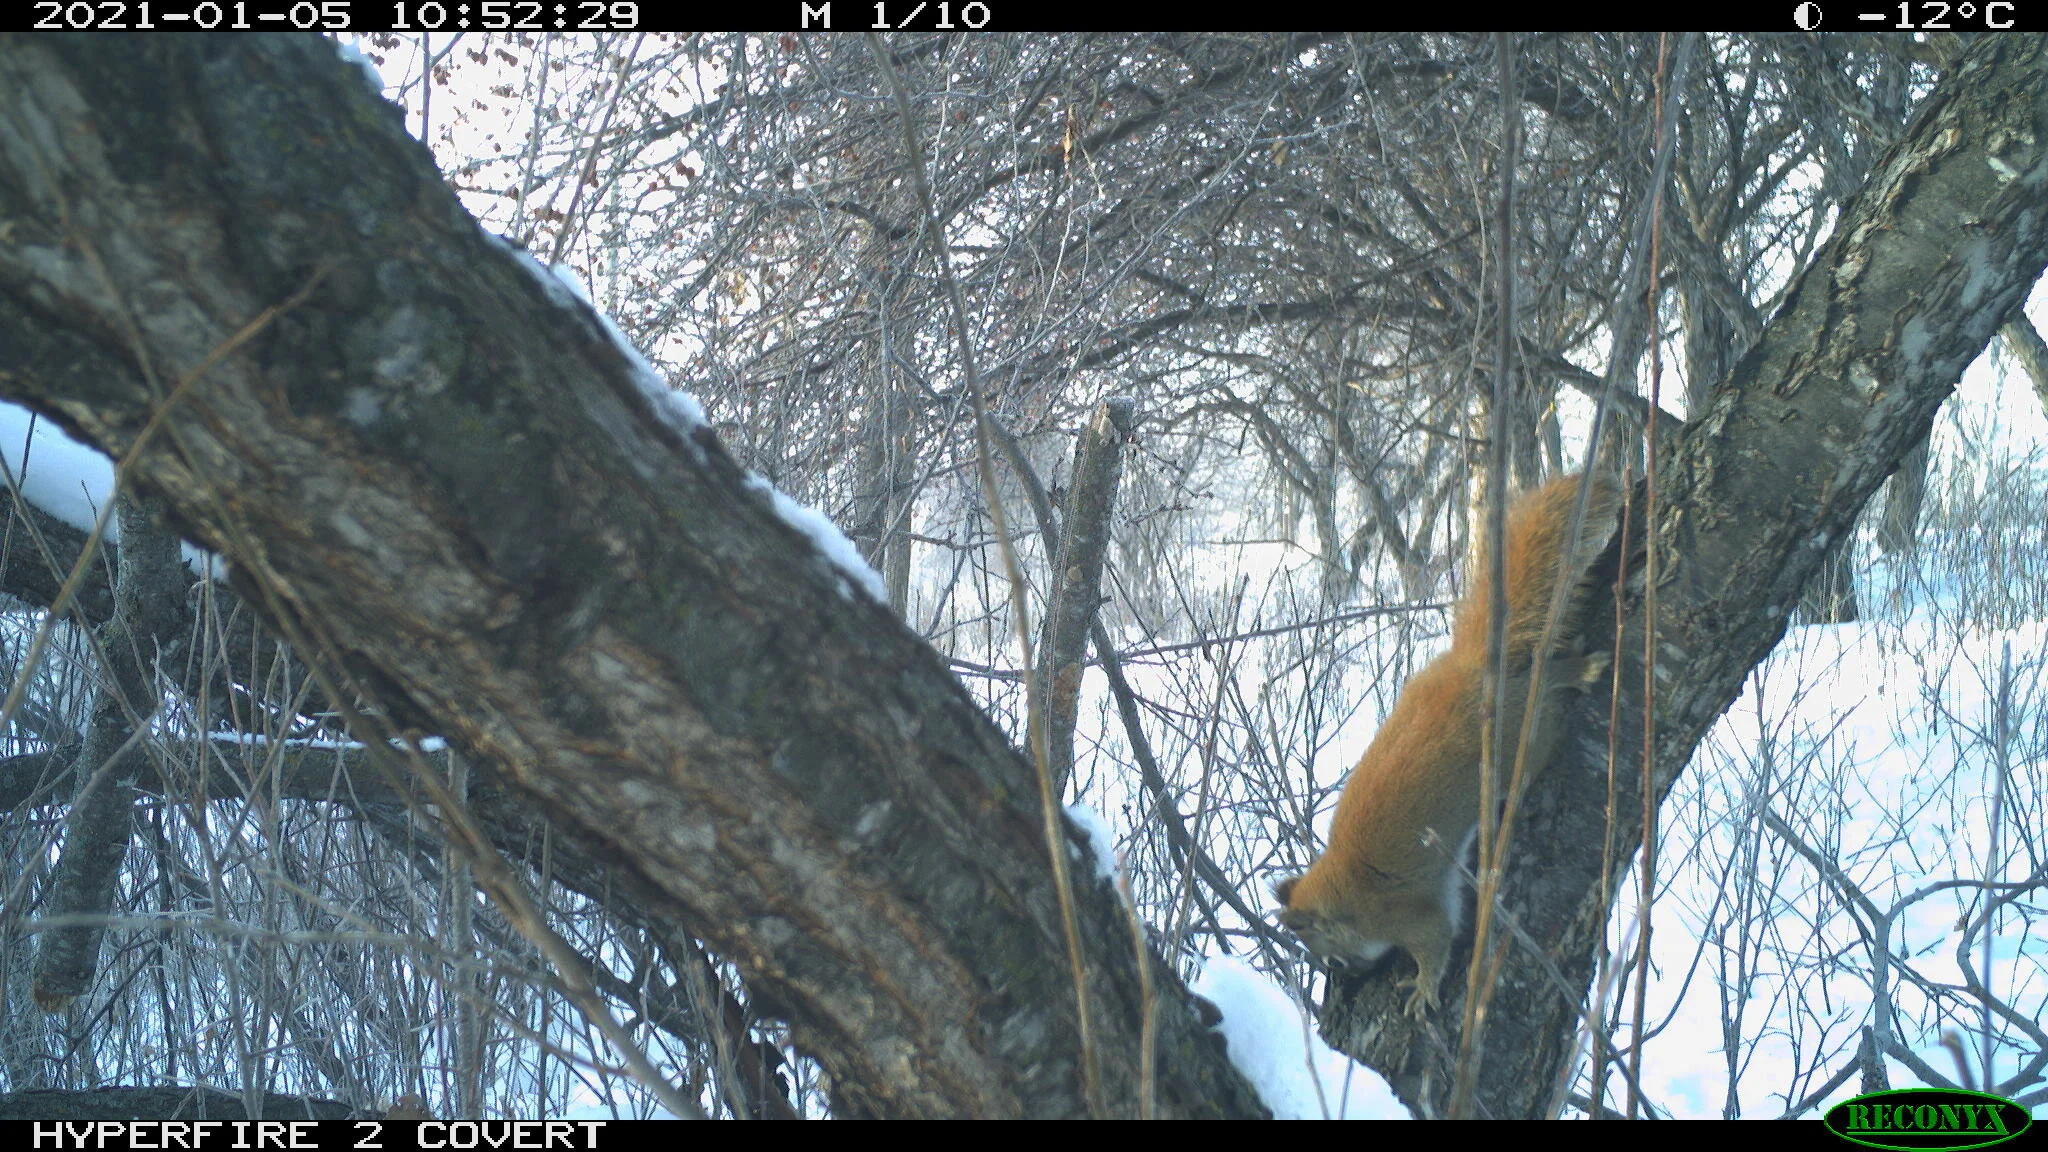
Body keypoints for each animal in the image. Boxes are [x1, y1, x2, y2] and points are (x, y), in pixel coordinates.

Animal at [1273, 473, 1620, 1017]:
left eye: (1330, 957)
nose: (1346, 982)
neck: (1349, 889)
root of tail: (1472, 671)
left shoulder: (1411, 914)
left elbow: (1436, 942)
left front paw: (1422, 989)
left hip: (1518, 742)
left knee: (1541, 699)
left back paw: (1573, 674)